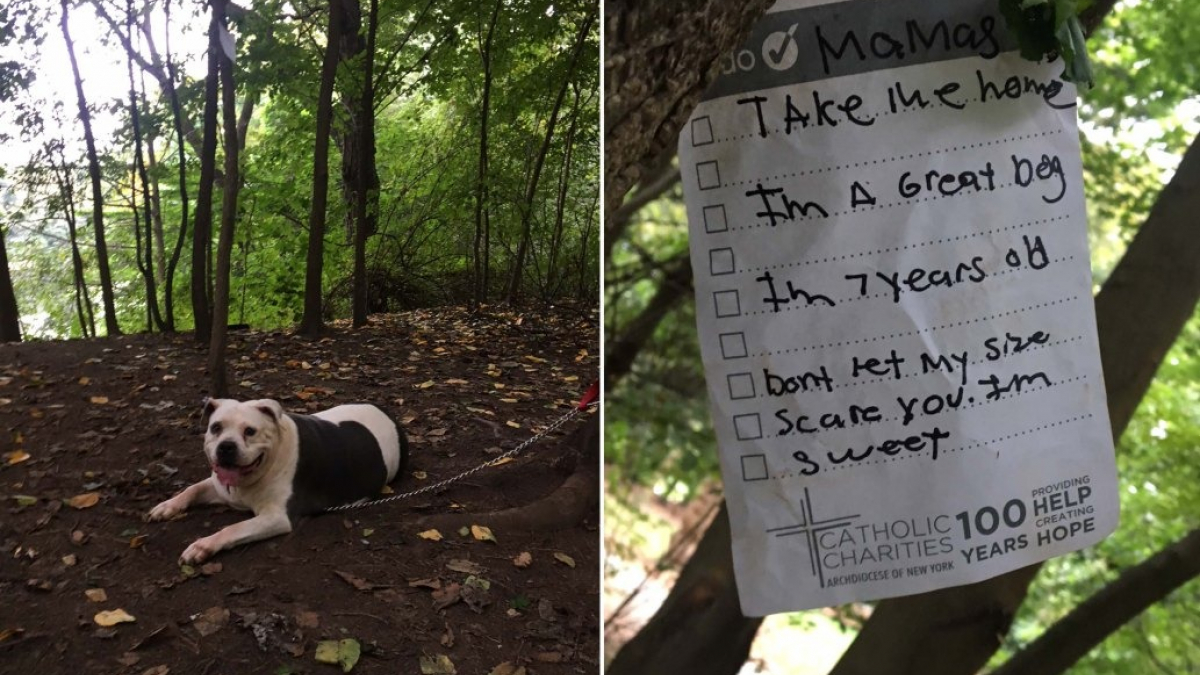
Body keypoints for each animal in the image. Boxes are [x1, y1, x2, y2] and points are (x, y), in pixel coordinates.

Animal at [147, 393, 410, 562]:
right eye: (216, 428)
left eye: (250, 431)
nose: (226, 446)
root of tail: (390, 414)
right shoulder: (218, 486)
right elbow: (191, 489)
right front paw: (167, 506)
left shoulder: (277, 517)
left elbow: (232, 528)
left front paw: (203, 545)